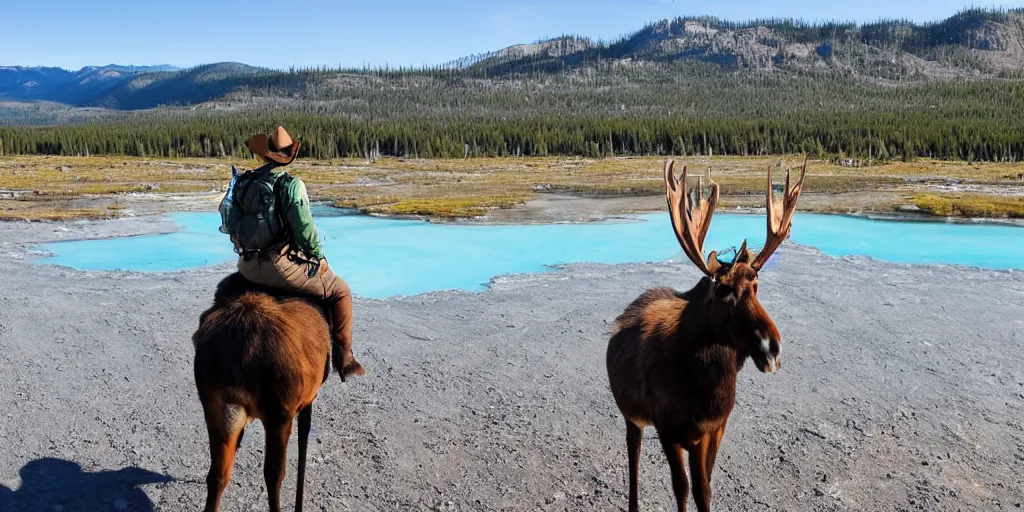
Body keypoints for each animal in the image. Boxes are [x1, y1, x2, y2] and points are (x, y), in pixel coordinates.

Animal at [194, 274, 352, 509]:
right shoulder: (308, 398)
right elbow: (303, 443)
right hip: (279, 412)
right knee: (274, 473)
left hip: (214, 407)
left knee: (217, 475)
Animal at [602, 157, 802, 509]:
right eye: (723, 290)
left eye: (756, 286)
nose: (772, 347)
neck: (702, 391)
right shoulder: (668, 428)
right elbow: (682, 488)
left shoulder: (714, 428)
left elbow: (704, 489)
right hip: (631, 415)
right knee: (633, 456)